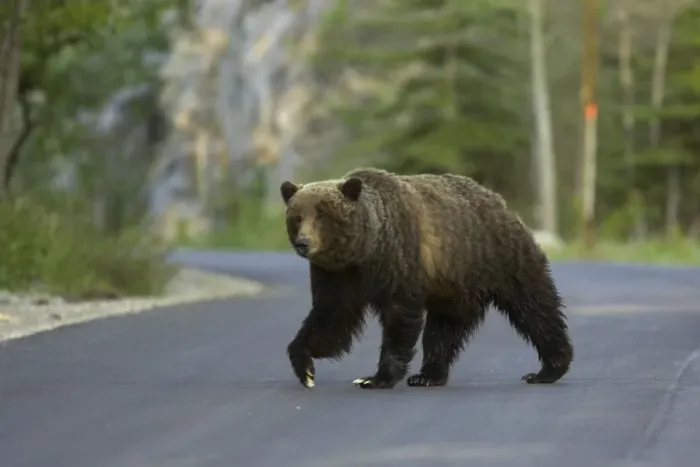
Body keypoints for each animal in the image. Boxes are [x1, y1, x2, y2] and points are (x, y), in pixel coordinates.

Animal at [280, 167, 573, 389]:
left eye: (322, 216)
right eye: (297, 217)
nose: (304, 243)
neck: (364, 250)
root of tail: (499, 201)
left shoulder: (398, 258)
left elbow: (398, 316)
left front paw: (376, 378)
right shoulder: (336, 275)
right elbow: (331, 317)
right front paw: (305, 367)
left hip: (500, 257)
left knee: (534, 308)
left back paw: (548, 369)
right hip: (455, 284)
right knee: (445, 328)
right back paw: (429, 374)